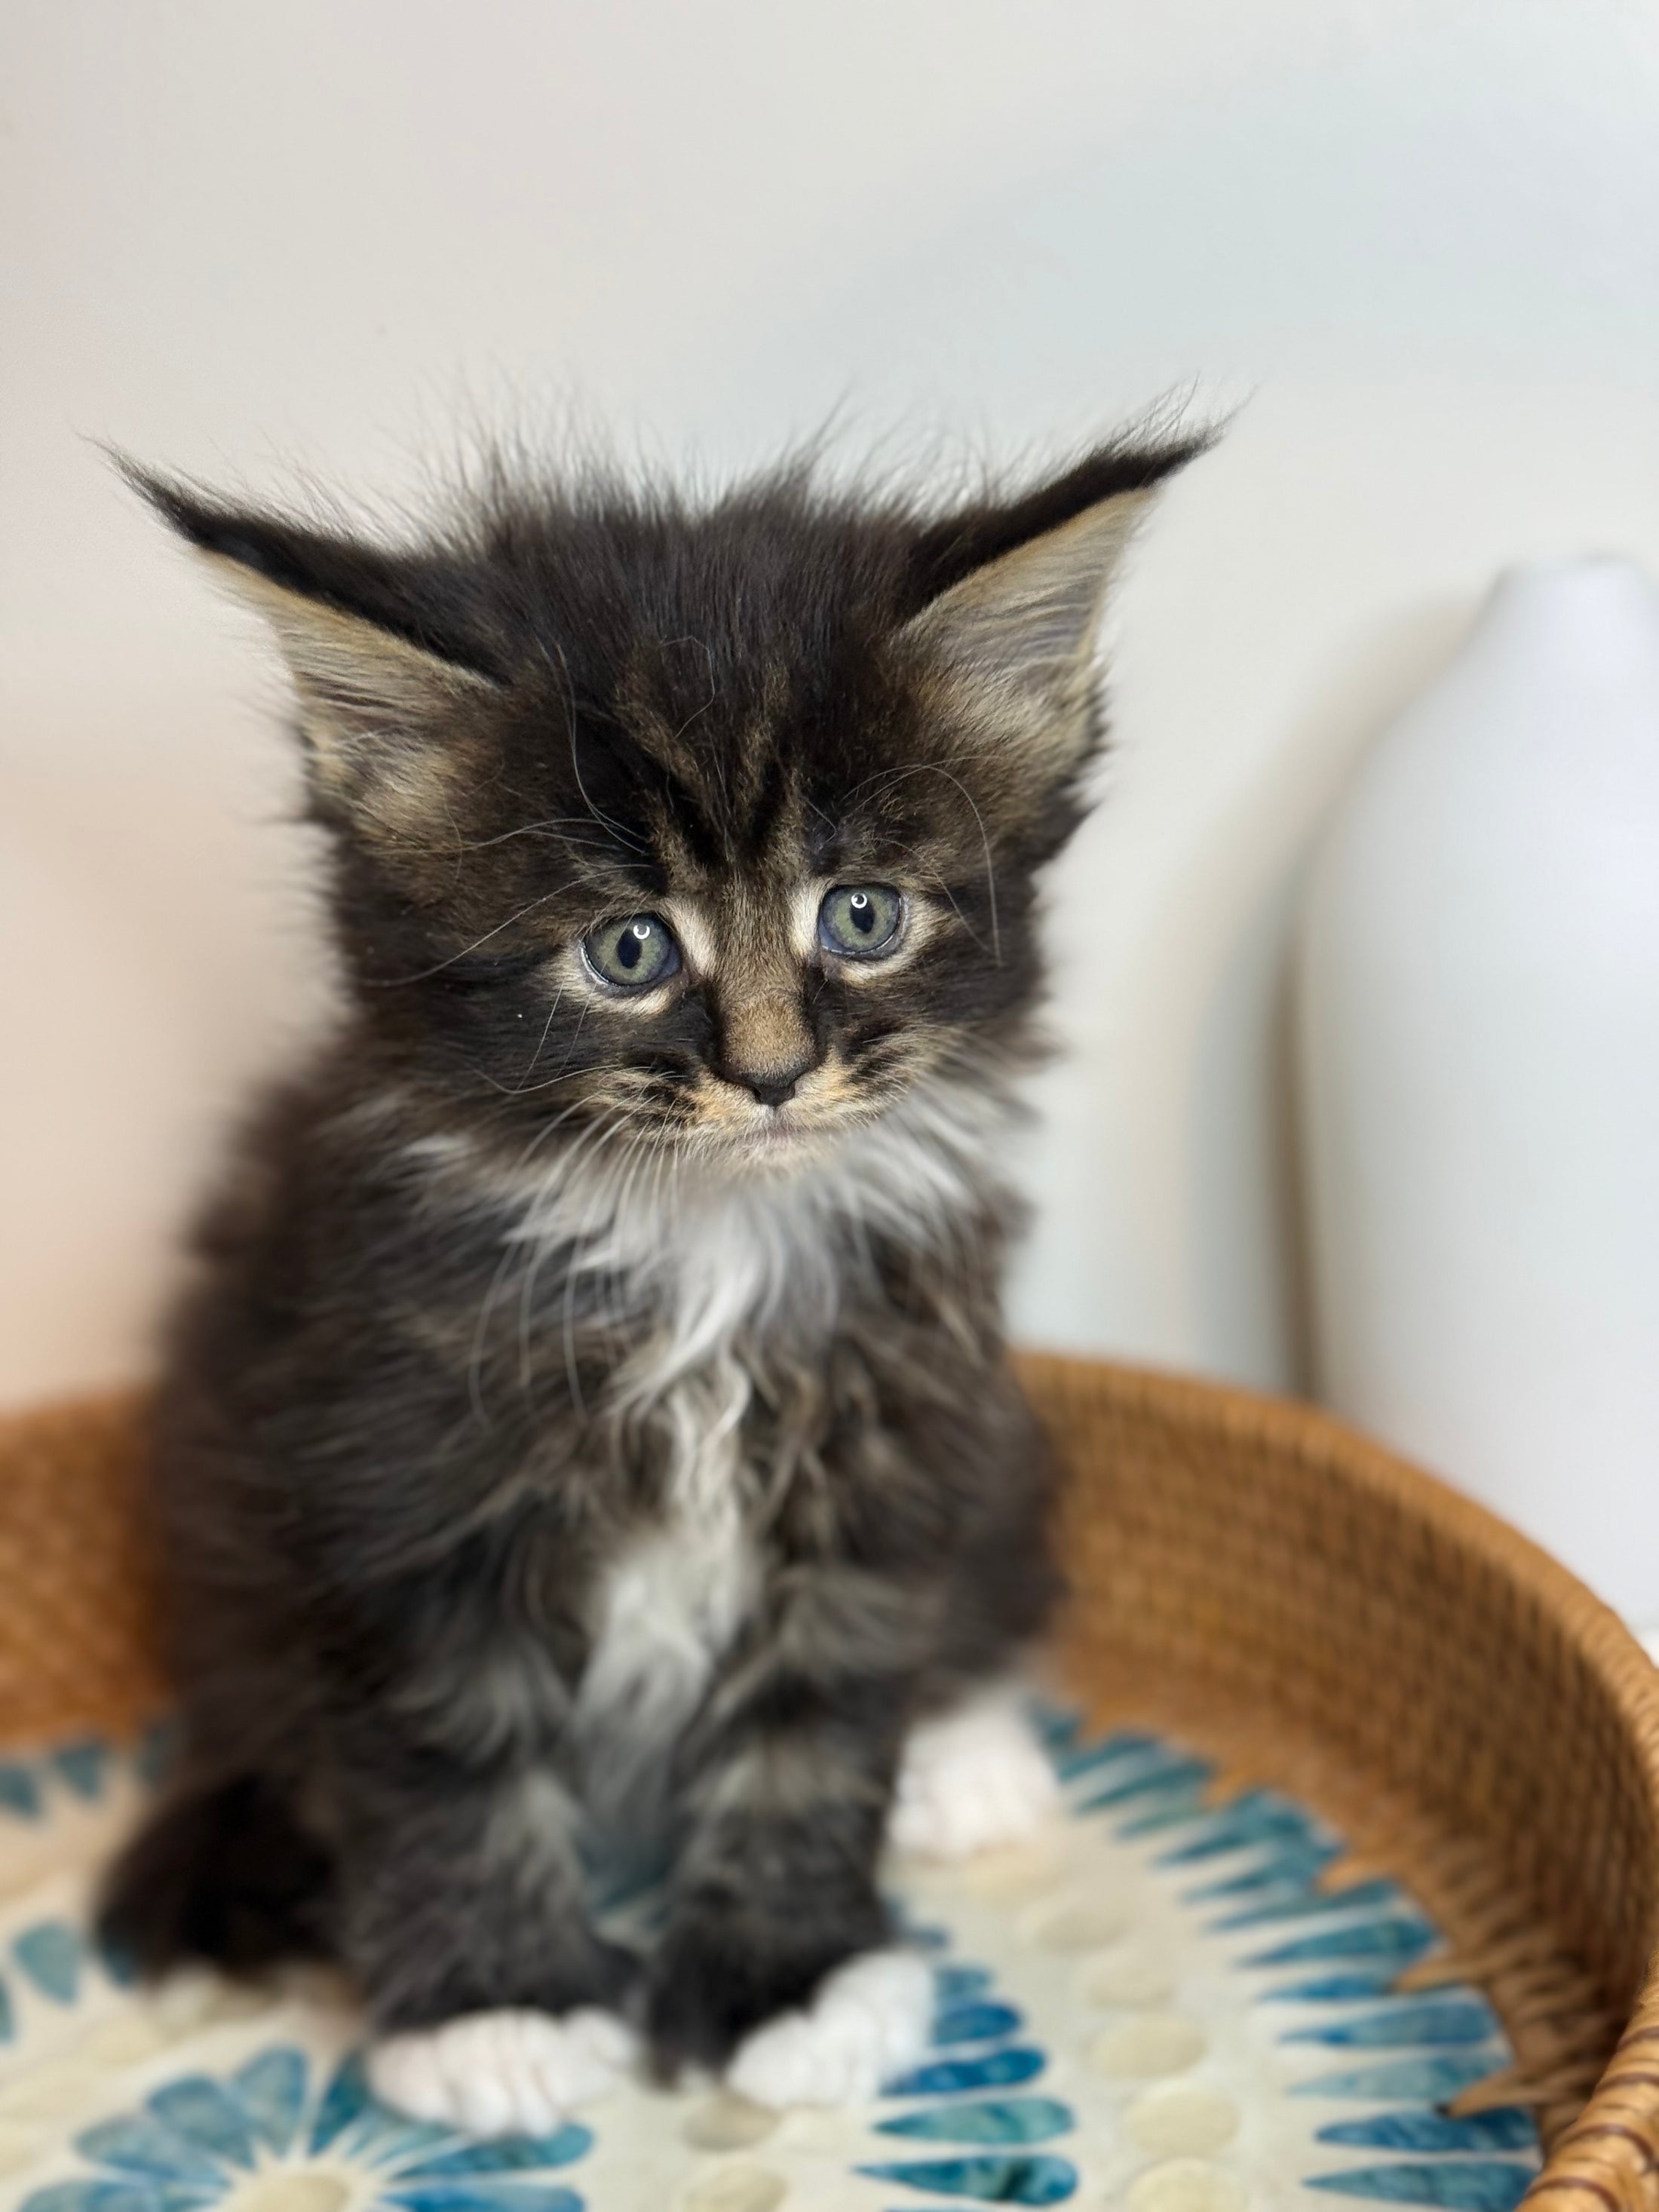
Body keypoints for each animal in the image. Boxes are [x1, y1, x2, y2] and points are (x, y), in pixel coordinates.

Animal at [97, 427, 1203, 2123]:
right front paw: (495, 2008)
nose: (771, 1073)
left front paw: (785, 1979)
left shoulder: (879, 1446)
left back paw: (965, 1746)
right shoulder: (397, 1475)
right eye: (628, 950)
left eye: (862, 915)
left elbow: (815, 1725)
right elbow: (449, 1756)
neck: (707, 1248)